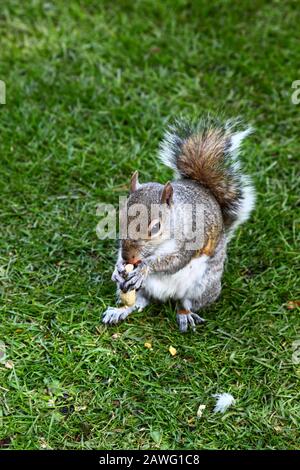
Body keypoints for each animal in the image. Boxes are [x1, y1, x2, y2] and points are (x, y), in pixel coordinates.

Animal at [102, 115, 255, 332]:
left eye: (156, 227)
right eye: (120, 219)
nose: (128, 257)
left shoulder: (191, 239)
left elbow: (174, 261)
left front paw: (144, 268)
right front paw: (118, 268)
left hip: (203, 286)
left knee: (186, 303)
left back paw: (185, 315)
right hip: (140, 290)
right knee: (139, 302)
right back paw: (121, 310)